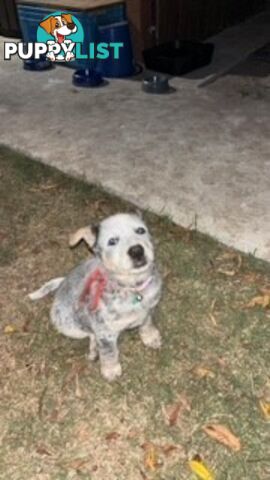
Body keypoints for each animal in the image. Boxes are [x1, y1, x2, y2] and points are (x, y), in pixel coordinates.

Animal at [29, 214, 162, 382]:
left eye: (140, 230)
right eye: (112, 241)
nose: (136, 250)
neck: (132, 288)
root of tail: (62, 283)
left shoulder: (149, 309)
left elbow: (147, 323)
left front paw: (150, 337)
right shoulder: (104, 330)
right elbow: (109, 351)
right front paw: (111, 369)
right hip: (69, 326)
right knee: (90, 334)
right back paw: (94, 348)